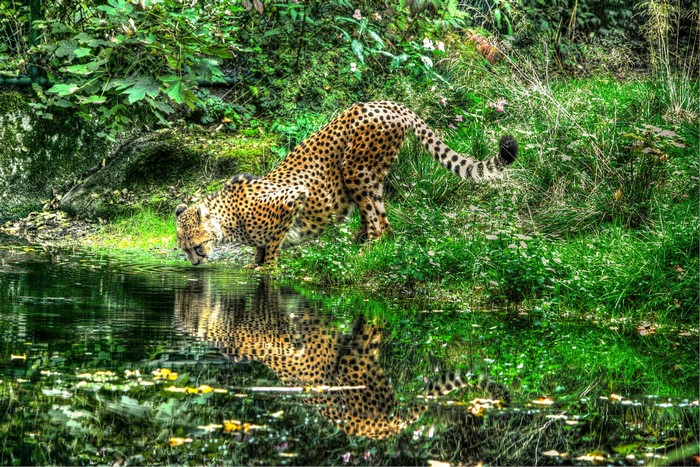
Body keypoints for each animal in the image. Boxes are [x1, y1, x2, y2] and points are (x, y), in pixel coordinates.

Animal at [175, 100, 518, 266]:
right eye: (184, 249)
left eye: (195, 246)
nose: (196, 263)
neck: (229, 217)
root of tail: (388, 103)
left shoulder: (293, 198)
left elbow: (271, 249)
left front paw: (264, 267)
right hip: (366, 176)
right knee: (380, 220)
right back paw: (357, 243)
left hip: (356, 169)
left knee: (381, 225)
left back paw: (363, 251)